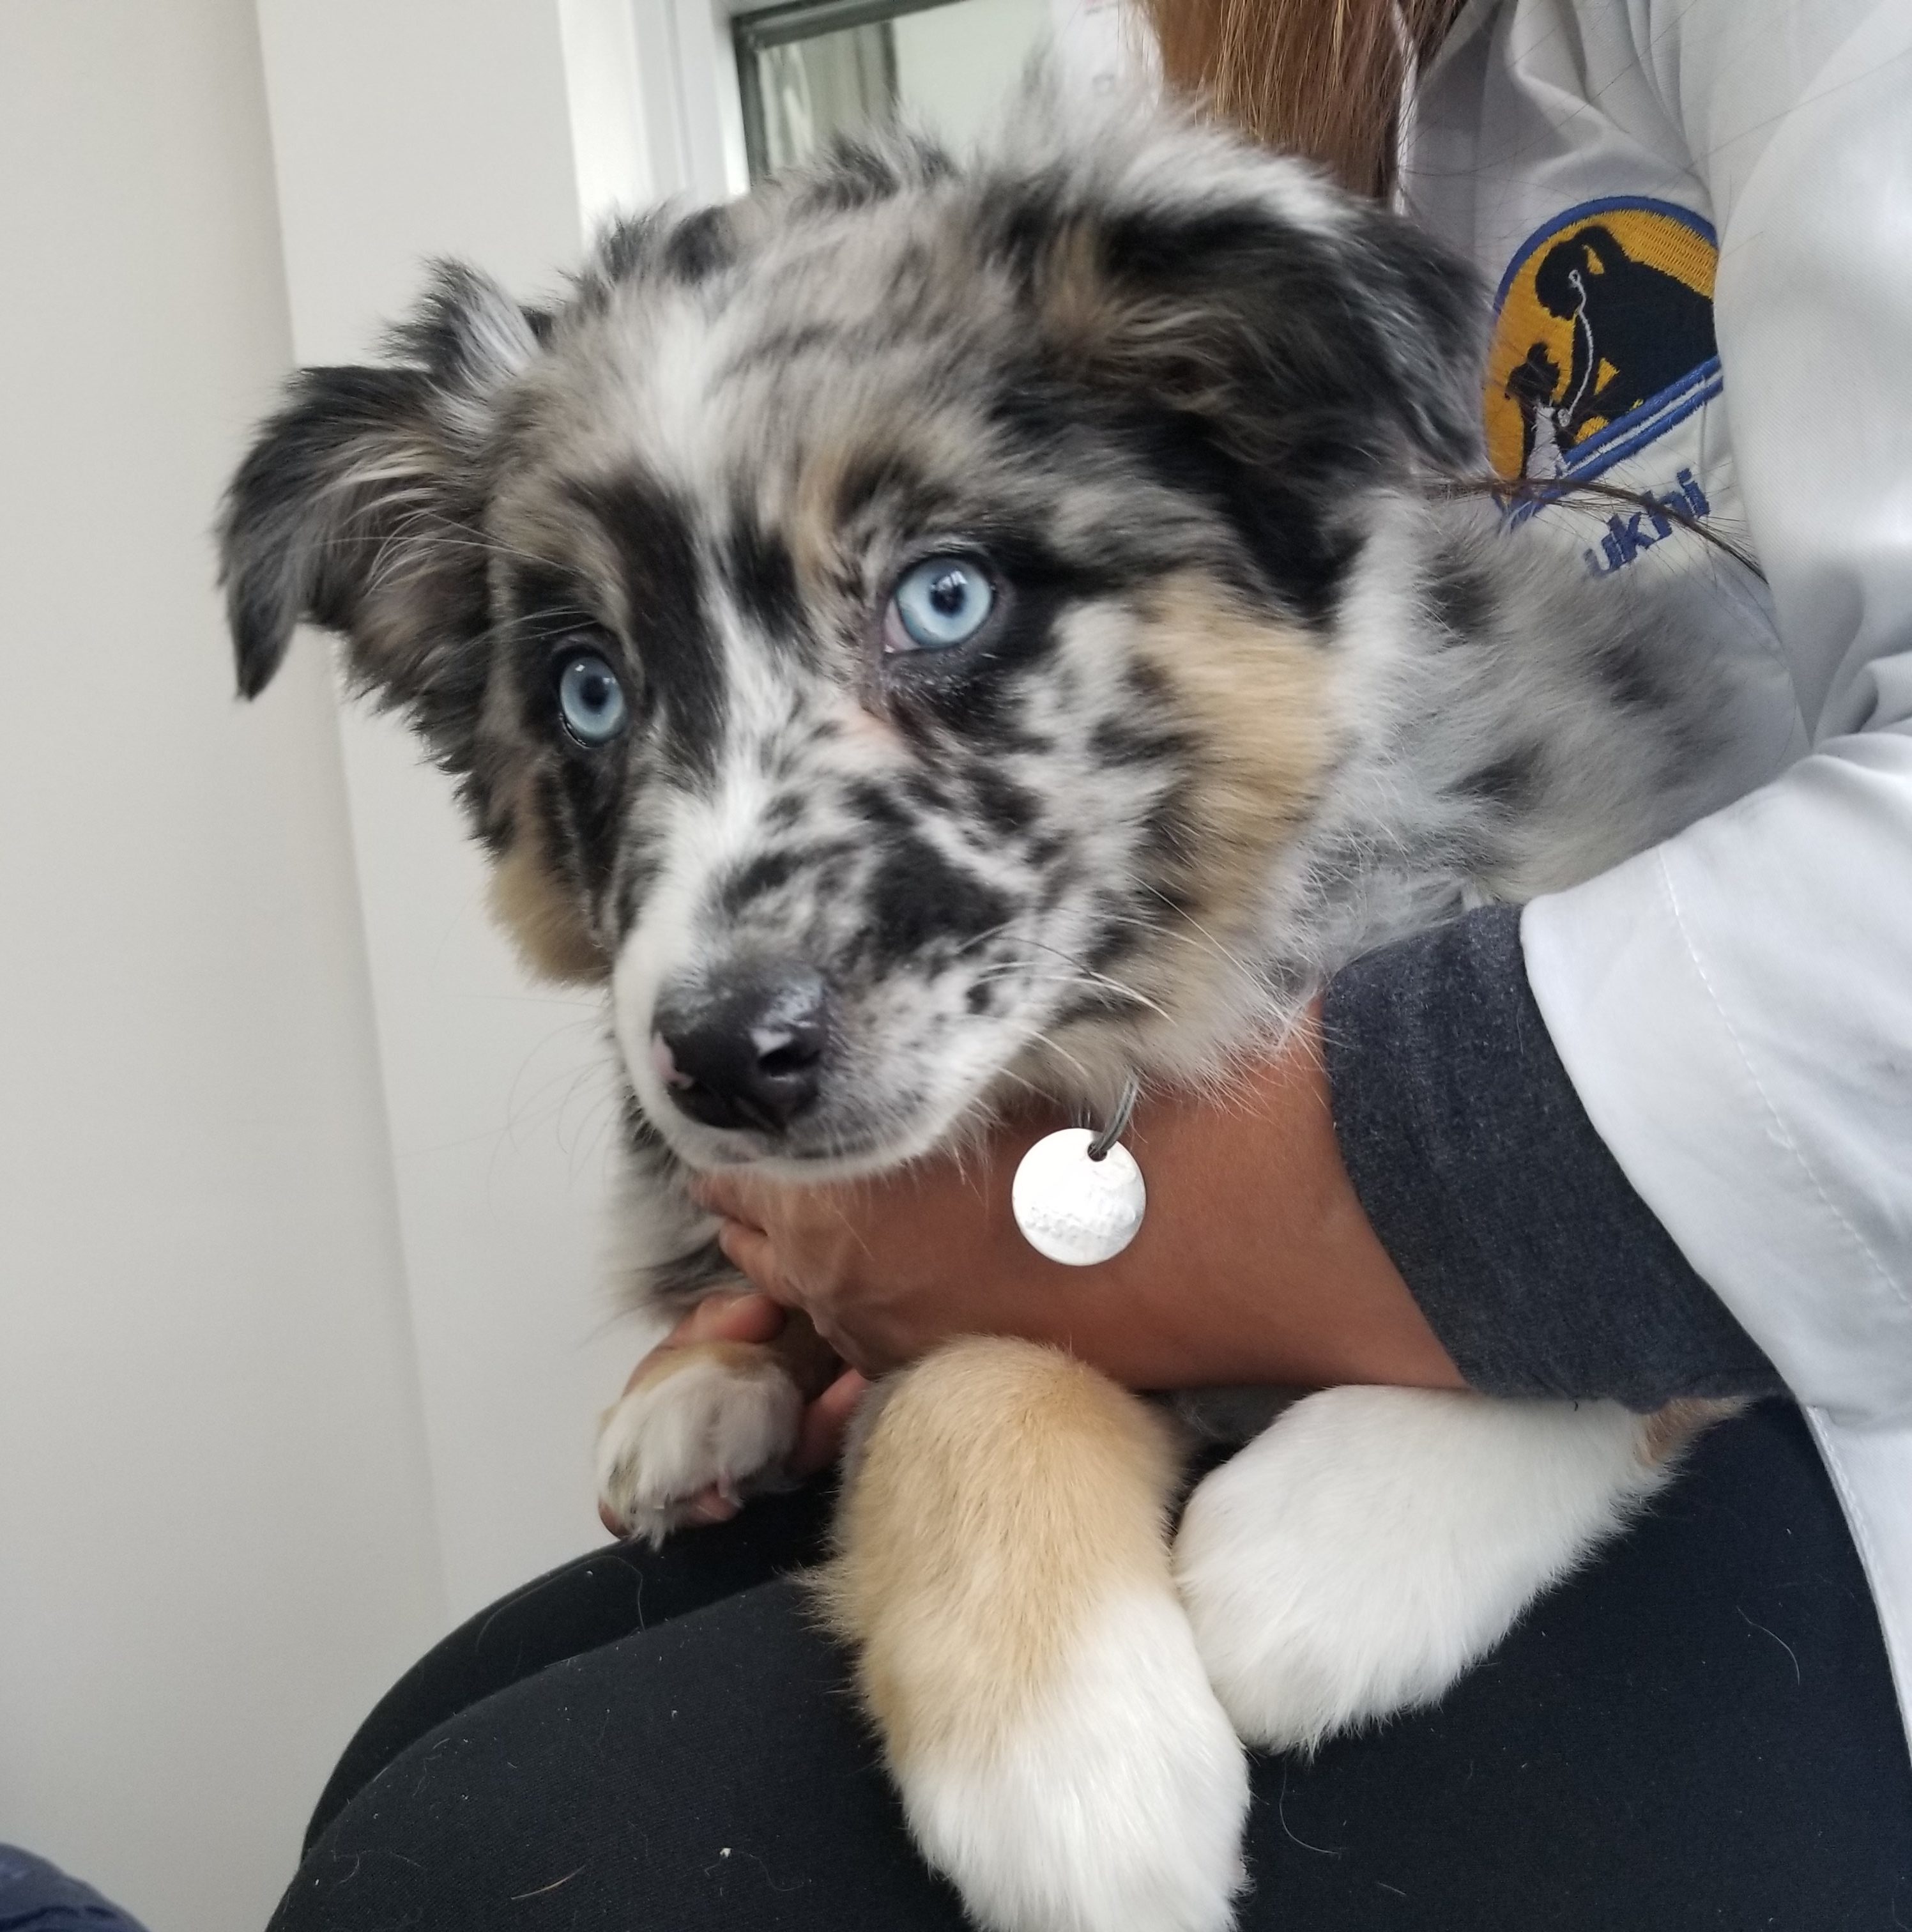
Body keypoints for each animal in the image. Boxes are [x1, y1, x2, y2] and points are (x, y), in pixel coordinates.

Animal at [221, 102, 1738, 1932]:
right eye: (586, 691)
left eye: (943, 600)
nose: (721, 1062)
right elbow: (969, 1371)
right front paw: (1071, 1761)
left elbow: (1574, 1273)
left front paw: (1323, 1547)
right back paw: (699, 1394)